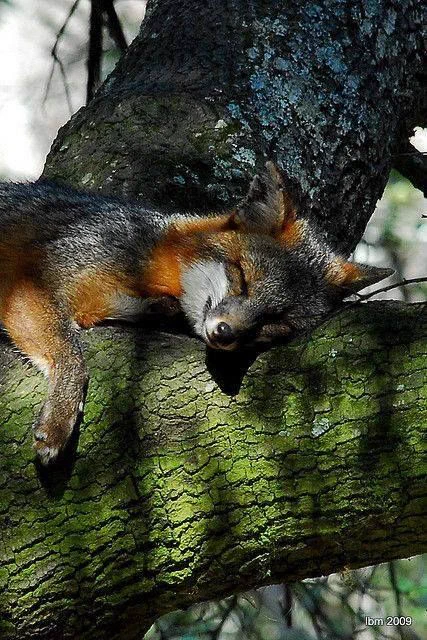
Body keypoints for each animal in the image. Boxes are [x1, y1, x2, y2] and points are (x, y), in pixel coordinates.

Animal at [0, 162, 392, 464]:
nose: (225, 333)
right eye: (243, 278)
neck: (156, 267)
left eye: (275, 322)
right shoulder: (30, 286)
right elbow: (72, 356)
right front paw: (59, 419)